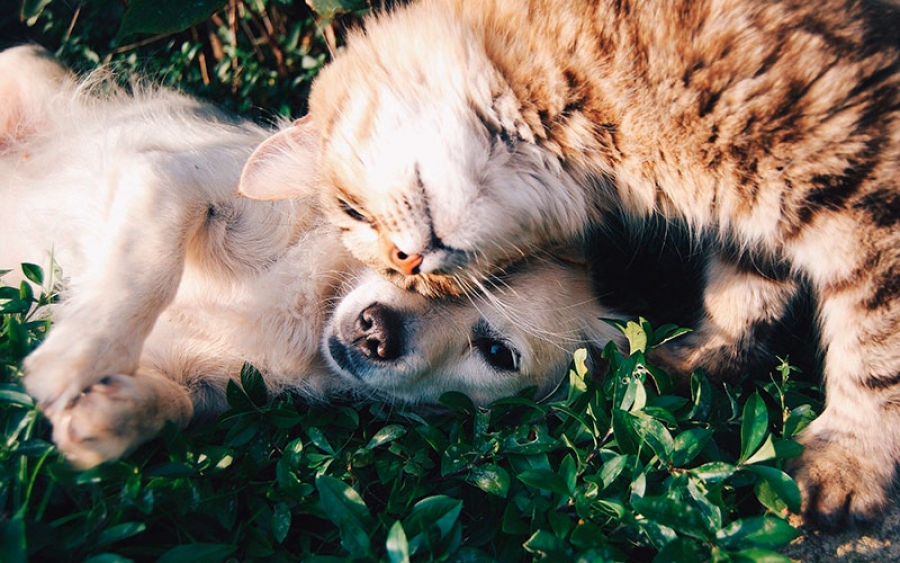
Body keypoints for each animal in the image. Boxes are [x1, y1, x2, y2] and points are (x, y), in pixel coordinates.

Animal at [237, 0, 900, 528]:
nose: (409, 263)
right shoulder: (753, 214)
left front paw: (847, 460)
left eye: (352, 211)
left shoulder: (863, 190)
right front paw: (697, 361)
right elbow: (742, 292)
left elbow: (875, 355)